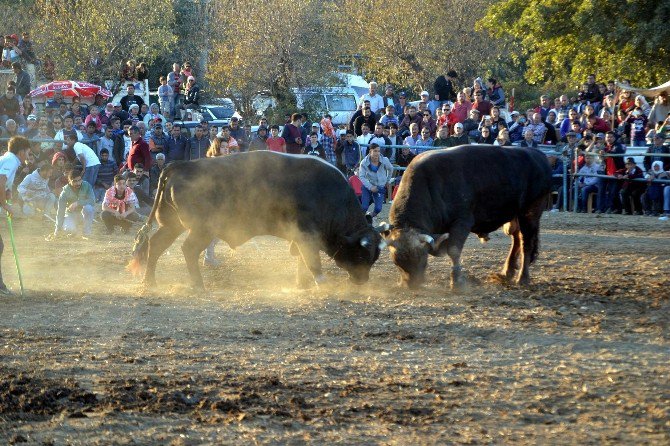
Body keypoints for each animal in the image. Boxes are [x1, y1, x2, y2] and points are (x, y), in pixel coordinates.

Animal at [131, 151, 386, 290]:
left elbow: (302, 261)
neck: (328, 196)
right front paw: (321, 283)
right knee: (189, 249)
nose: (362, 280)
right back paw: (198, 285)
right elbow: (312, 261)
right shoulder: (307, 236)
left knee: (155, 246)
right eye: (361, 254)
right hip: (202, 230)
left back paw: (149, 282)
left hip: (171, 226)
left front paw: (302, 283)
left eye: (374, 257)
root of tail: (182, 165)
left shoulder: (301, 238)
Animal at [384, 145, 552, 290]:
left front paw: (457, 282)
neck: (431, 186)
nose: (411, 284)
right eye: (397, 261)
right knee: (516, 239)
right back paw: (506, 272)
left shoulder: (462, 222)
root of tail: (539, 155)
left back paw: (522, 278)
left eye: (421, 258)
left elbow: (454, 250)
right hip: (514, 215)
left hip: (530, 213)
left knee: (526, 243)